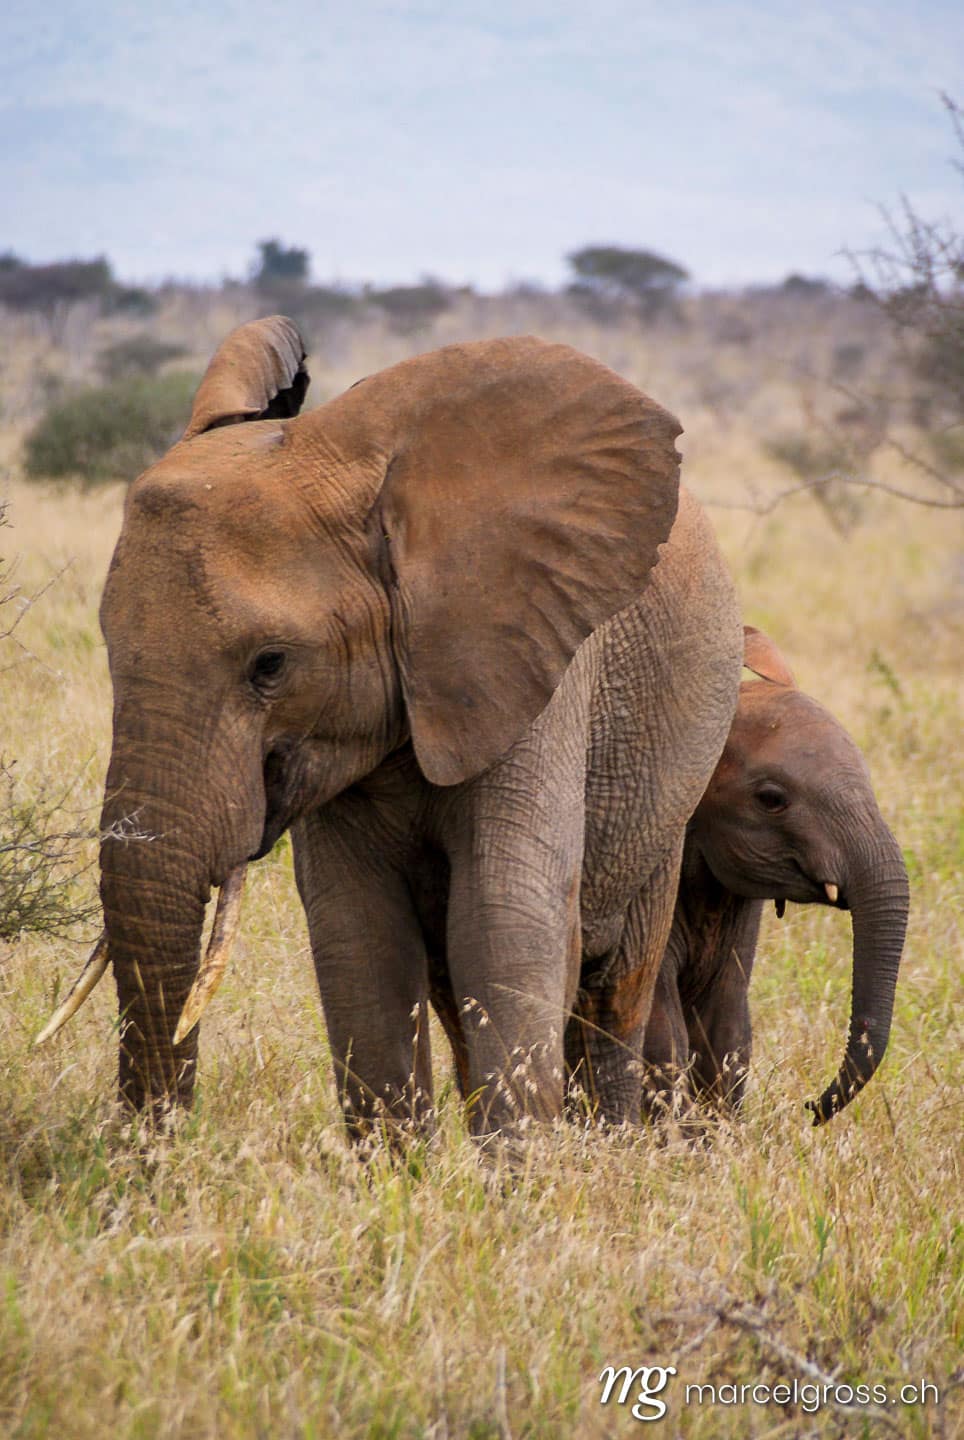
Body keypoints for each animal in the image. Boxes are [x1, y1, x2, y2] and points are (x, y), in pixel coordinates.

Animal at [37, 315, 745, 1139]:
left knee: (614, 981)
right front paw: (400, 1166)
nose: (153, 1153)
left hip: (670, 787)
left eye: (270, 665)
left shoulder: (527, 659)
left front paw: (523, 1167)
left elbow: (504, 922)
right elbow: (360, 936)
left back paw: (609, 1139)